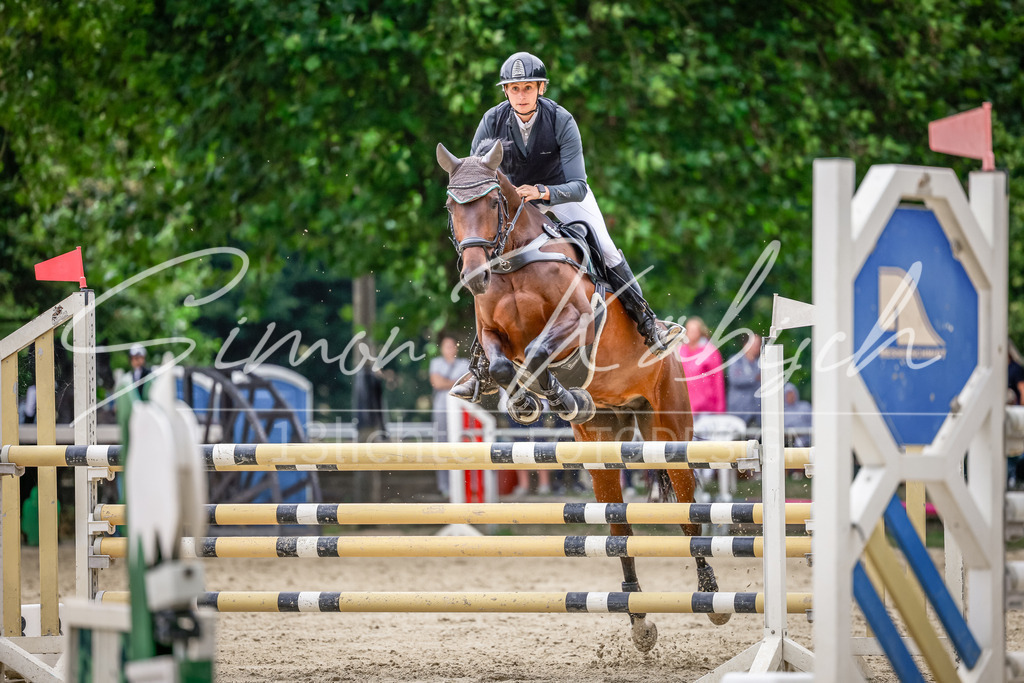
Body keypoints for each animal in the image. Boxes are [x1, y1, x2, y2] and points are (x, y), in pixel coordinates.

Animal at [436, 141, 729, 651]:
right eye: (452, 208)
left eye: (491, 204)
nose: (474, 277)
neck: (513, 262)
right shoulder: (492, 333)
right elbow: (502, 364)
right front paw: (530, 399)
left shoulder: (576, 321)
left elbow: (538, 351)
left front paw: (557, 397)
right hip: (601, 448)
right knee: (618, 529)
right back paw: (638, 618)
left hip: (671, 433)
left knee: (690, 517)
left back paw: (710, 597)